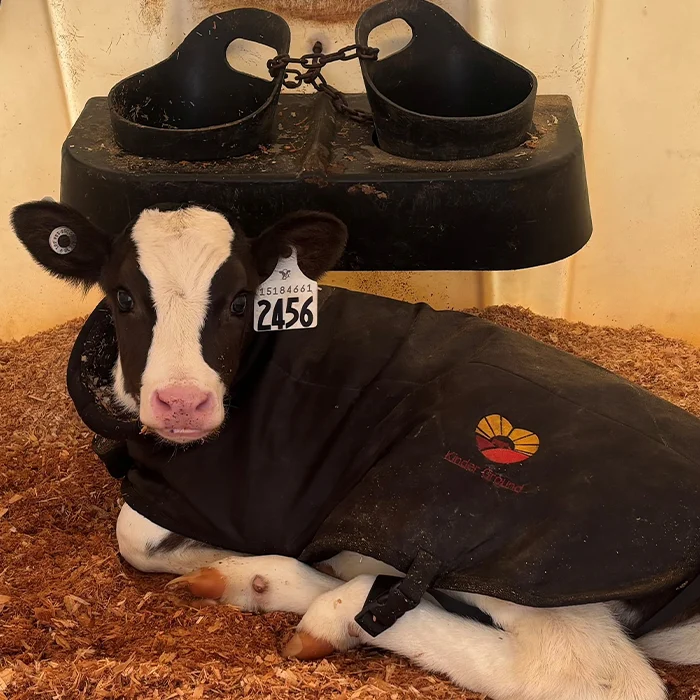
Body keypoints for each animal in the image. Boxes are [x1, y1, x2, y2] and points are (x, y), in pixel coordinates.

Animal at [12, 199, 700, 700]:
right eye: (124, 297)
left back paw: (328, 605)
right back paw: (260, 581)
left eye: (240, 301)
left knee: (595, 677)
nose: (183, 402)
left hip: (507, 550)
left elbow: (135, 538)